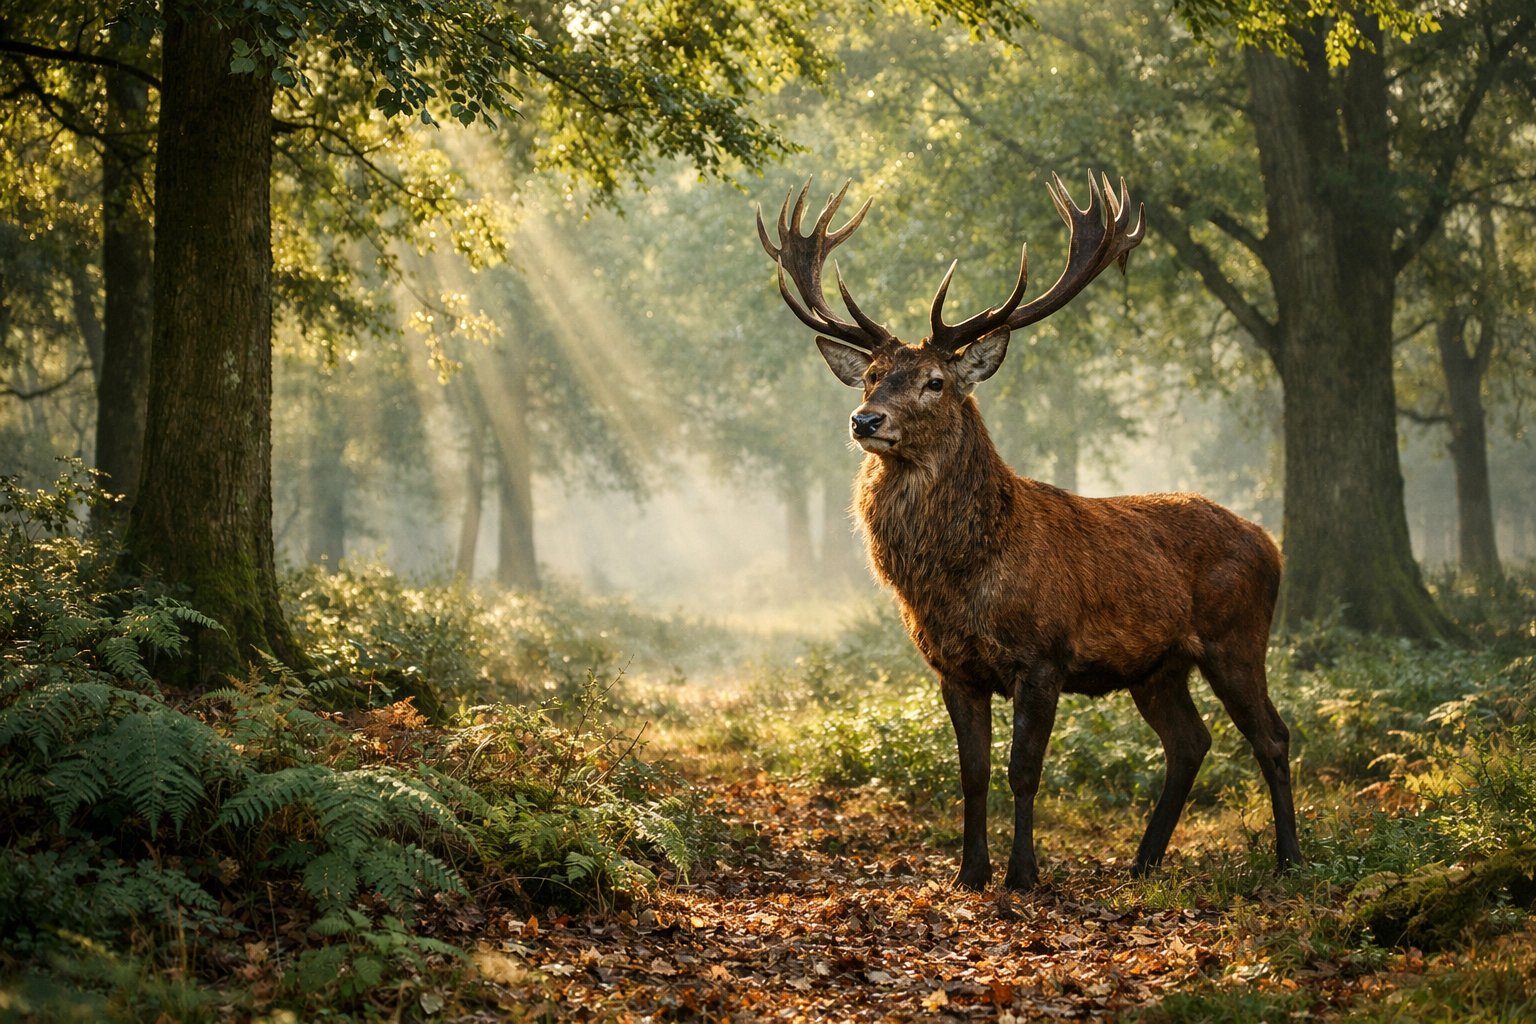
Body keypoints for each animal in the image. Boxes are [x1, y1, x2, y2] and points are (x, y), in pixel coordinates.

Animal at [757, 174, 1302, 891]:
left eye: (935, 381)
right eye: (872, 376)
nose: (865, 420)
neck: (963, 575)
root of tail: (1269, 541)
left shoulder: (1042, 657)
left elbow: (1023, 772)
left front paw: (1022, 874)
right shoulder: (952, 668)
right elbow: (972, 773)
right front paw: (969, 873)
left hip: (1236, 637)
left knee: (1272, 734)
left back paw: (1291, 859)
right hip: (1158, 667)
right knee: (1190, 742)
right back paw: (1145, 861)